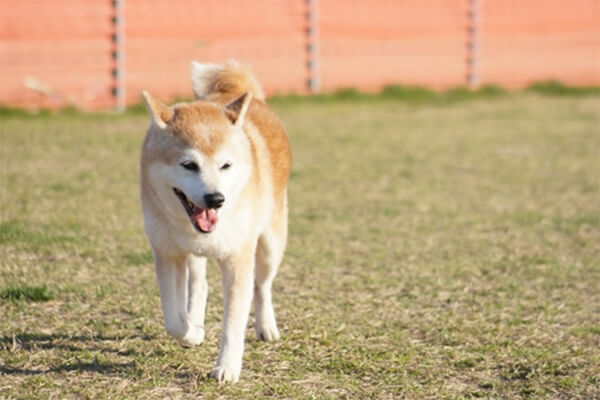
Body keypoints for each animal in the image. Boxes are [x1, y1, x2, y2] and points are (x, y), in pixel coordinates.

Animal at [139, 61, 292, 382]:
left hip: (271, 244)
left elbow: (233, 323)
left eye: (226, 165)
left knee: (262, 286)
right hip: (192, 256)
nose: (215, 199)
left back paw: (266, 326)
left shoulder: (237, 259)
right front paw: (192, 332)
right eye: (188, 165)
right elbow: (173, 319)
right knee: (199, 286)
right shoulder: (167, 253)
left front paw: (227, 368)